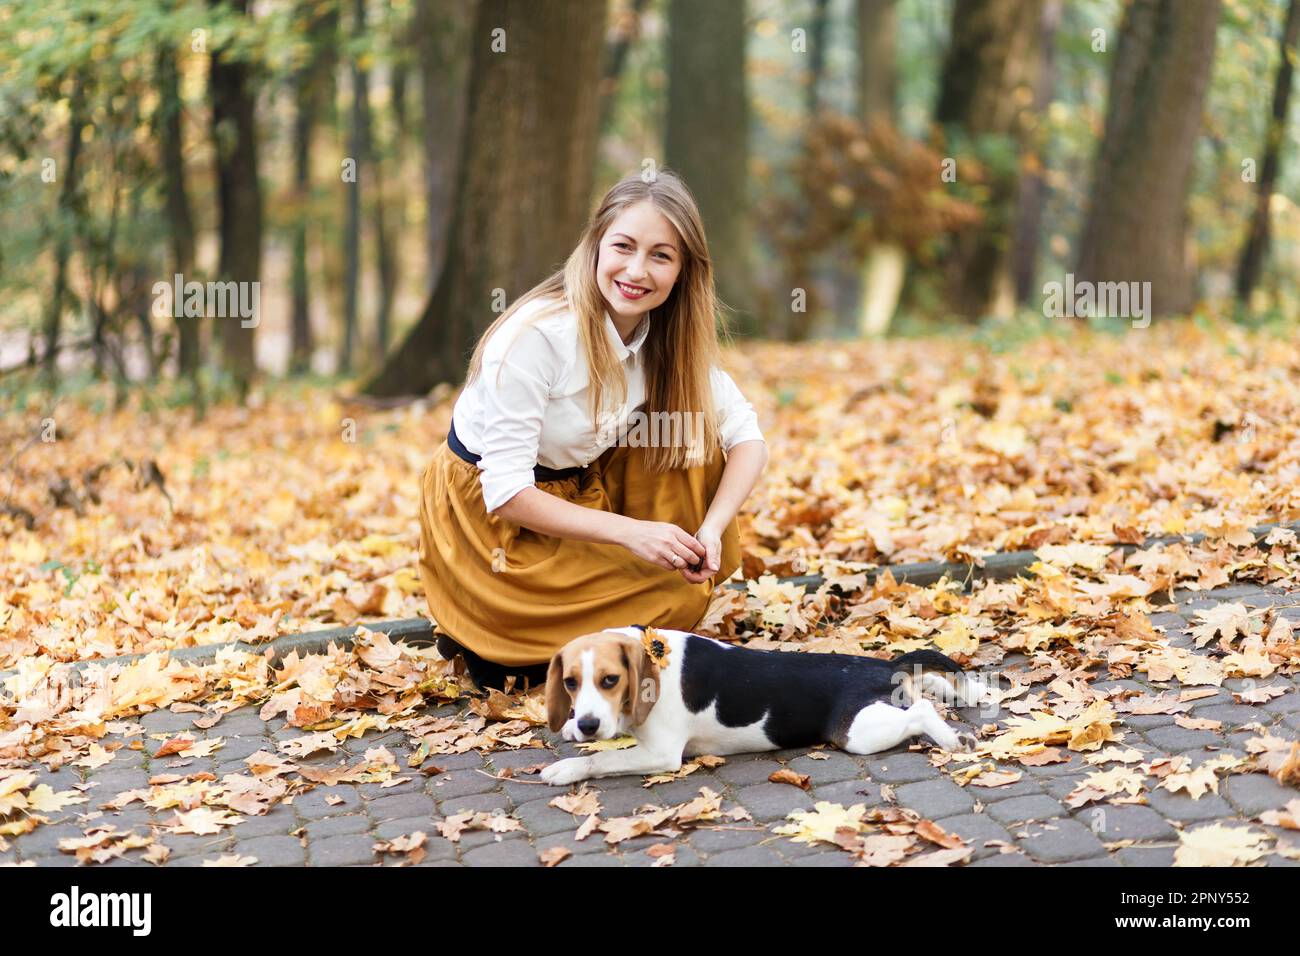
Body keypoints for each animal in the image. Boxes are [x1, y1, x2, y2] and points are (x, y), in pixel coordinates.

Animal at [543, 624, 987, 790]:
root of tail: (884, 665)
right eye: (570, 683)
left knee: (922, 711)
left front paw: (567, 768)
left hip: (859, 733)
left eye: (610, 680)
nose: (587, 725)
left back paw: (953, 740)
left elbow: (601, 759)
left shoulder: (661, 754)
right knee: (927, 685)